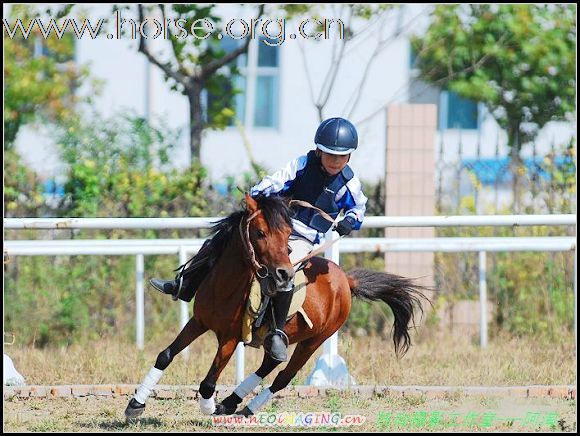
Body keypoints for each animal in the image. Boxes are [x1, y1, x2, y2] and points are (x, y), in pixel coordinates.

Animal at [123, 193, 430, 418]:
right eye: (259, 232)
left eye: (287, 234)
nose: (284, 274)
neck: (226, 287)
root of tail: (346, 280)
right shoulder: (198, 322)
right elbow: (165, 355)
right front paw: (136, 404)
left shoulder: (230, 338)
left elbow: (209, 381)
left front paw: (207, 407)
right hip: (282, 337)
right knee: (270, 361)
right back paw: (231, 403)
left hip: (314, 340)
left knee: (283, 376)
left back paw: (245, 408)